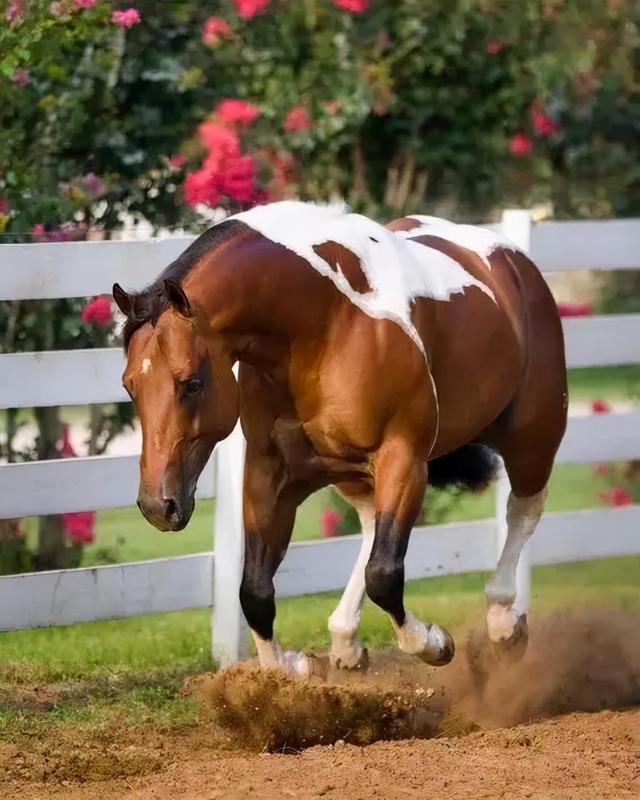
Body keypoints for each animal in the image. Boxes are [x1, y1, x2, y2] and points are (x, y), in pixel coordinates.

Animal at [114, 200, 564, 676]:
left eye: (192, 383)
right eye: (130, 386)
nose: (157, 506)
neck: (323, 321)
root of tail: (513, 261)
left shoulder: (403, 460)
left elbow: (384, 575)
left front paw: (434, 642)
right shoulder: (269, 474)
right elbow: (254, 592)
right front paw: (291, 667)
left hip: (534, 436)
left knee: (523, 511)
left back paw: (504, 623)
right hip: (351, 472)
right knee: (368, 527)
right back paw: (345, 641)